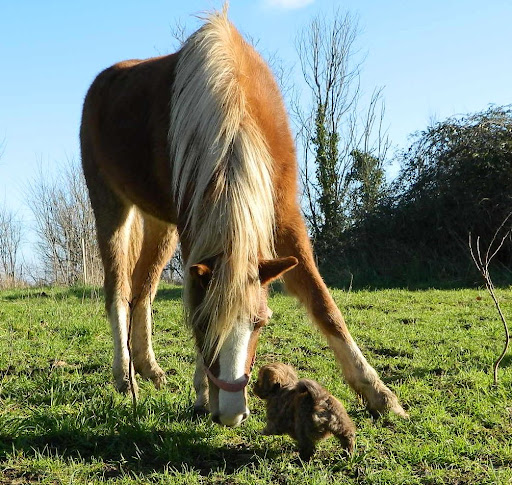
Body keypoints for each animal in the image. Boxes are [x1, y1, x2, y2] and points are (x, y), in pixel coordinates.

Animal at [81, 6, 408, 424]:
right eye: (201, 325)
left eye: (261, 323)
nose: (233, 413)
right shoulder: (195, 224)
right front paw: (203, 391)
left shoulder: (285, 218)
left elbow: (325, 306)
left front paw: (379, 394)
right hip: (111, 207)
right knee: (119, 291)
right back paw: (125, 376)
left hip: (161, 224)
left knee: (144, 290)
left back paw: (149, 368)